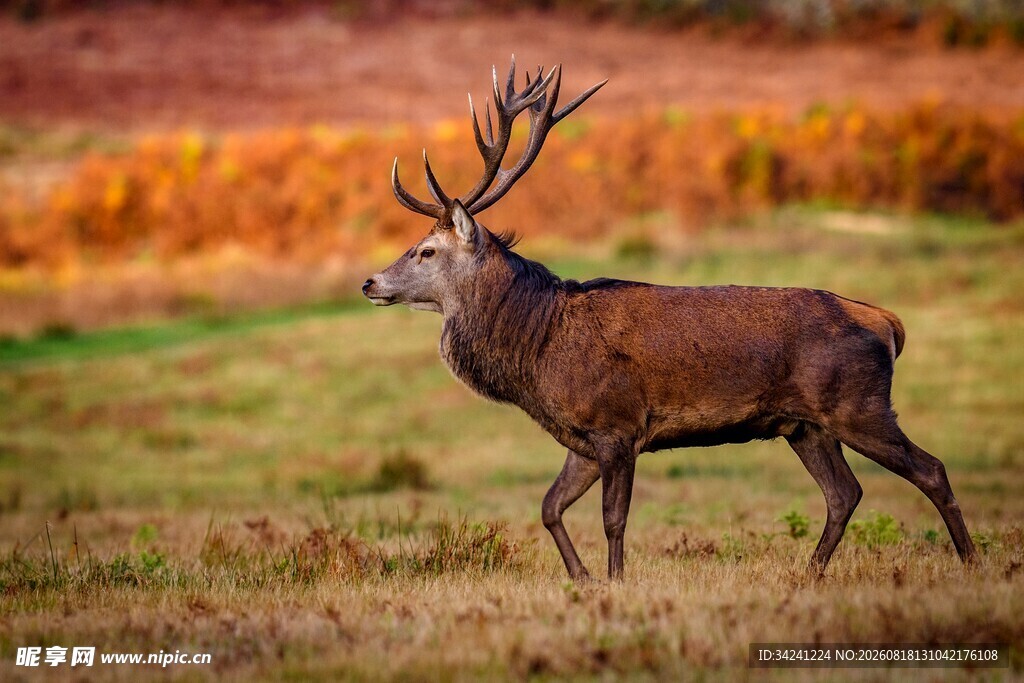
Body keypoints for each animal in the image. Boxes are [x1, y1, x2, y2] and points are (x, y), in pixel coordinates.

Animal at [361, 58, 977, 580]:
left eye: (425, 251)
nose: (369, 282)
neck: (537, 351)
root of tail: (886, 322)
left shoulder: (617, 424)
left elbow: (613, 518)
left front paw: (614, 580)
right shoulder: (581, 439)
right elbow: (548, 507)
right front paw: (582, 578)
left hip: (858, 405)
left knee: (931, 469)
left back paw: (971, 561)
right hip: (806, 425)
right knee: (844, 493)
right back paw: (808, 573)